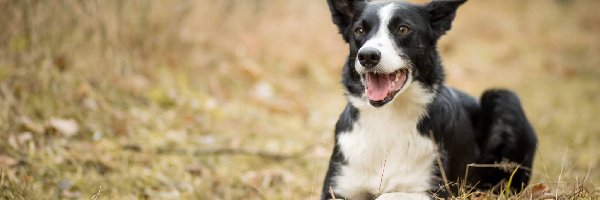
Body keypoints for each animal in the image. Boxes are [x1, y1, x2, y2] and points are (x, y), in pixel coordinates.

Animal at [322, 0, 536, 199]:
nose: (367, 56)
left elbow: (387, 195)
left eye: (403, 29)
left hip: (505, 100)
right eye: (359, 30)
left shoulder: (438, 191)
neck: (388, 116)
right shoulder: (337, 187)